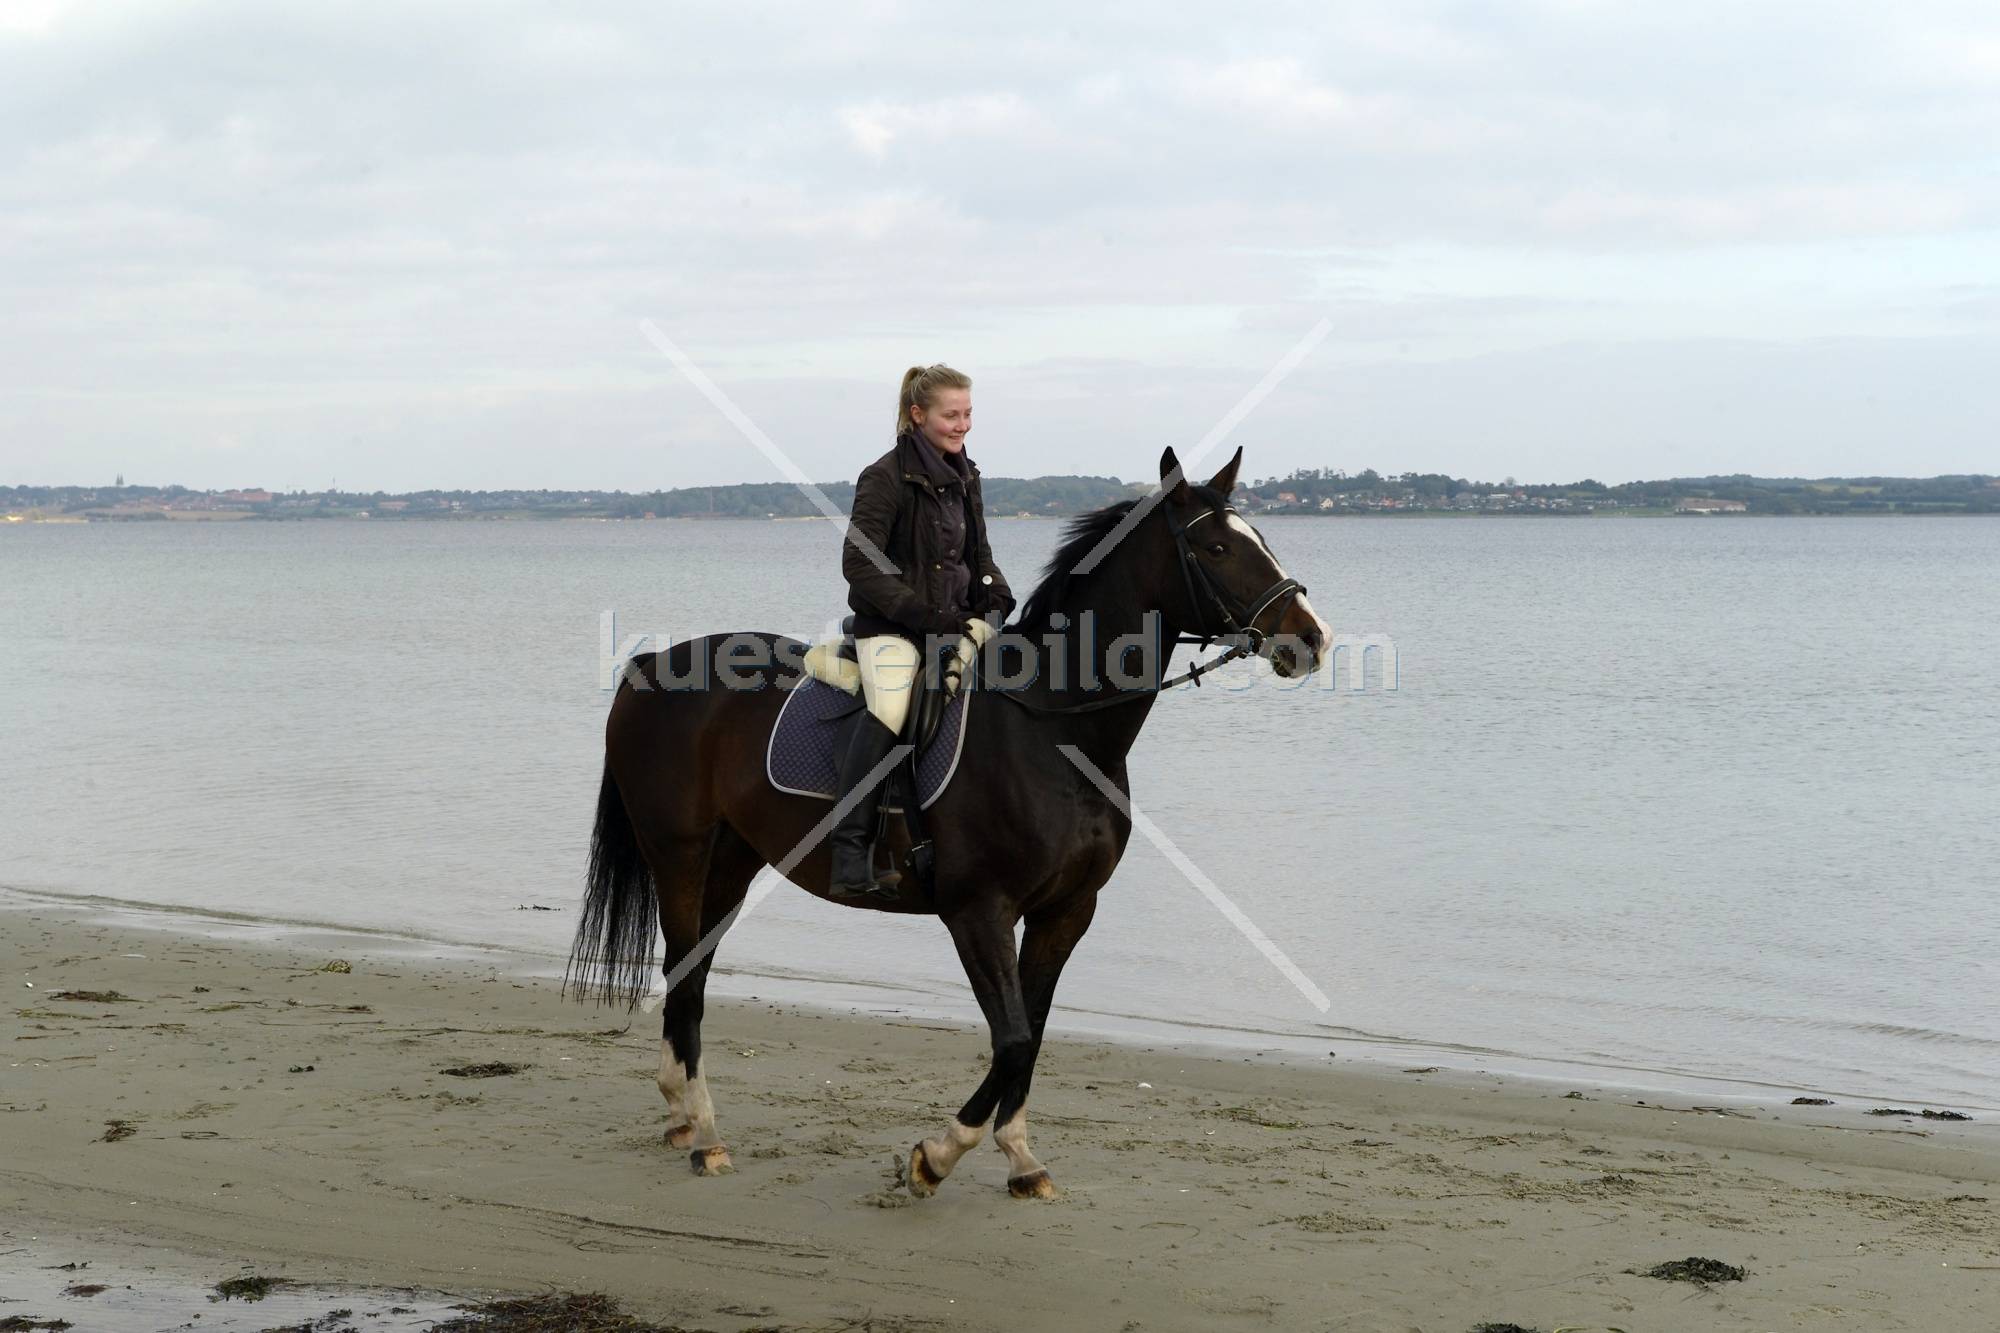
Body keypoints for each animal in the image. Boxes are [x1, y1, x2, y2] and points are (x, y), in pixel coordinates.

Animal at [568, 444, 1328, 1192]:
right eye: (1217, 546)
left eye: (1262, 538)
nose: (1311, 639)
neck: (1054, 726)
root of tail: (650, 665)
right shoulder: (978, 910)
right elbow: (1013, 1037)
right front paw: (935, 1156)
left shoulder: (1066, 911)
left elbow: (1032, 1034)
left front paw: (1020, 1157)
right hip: (680, 854)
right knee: (685, 978)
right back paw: (705, 1135)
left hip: (731, 862)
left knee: (690, 976)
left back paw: (685, 1117)